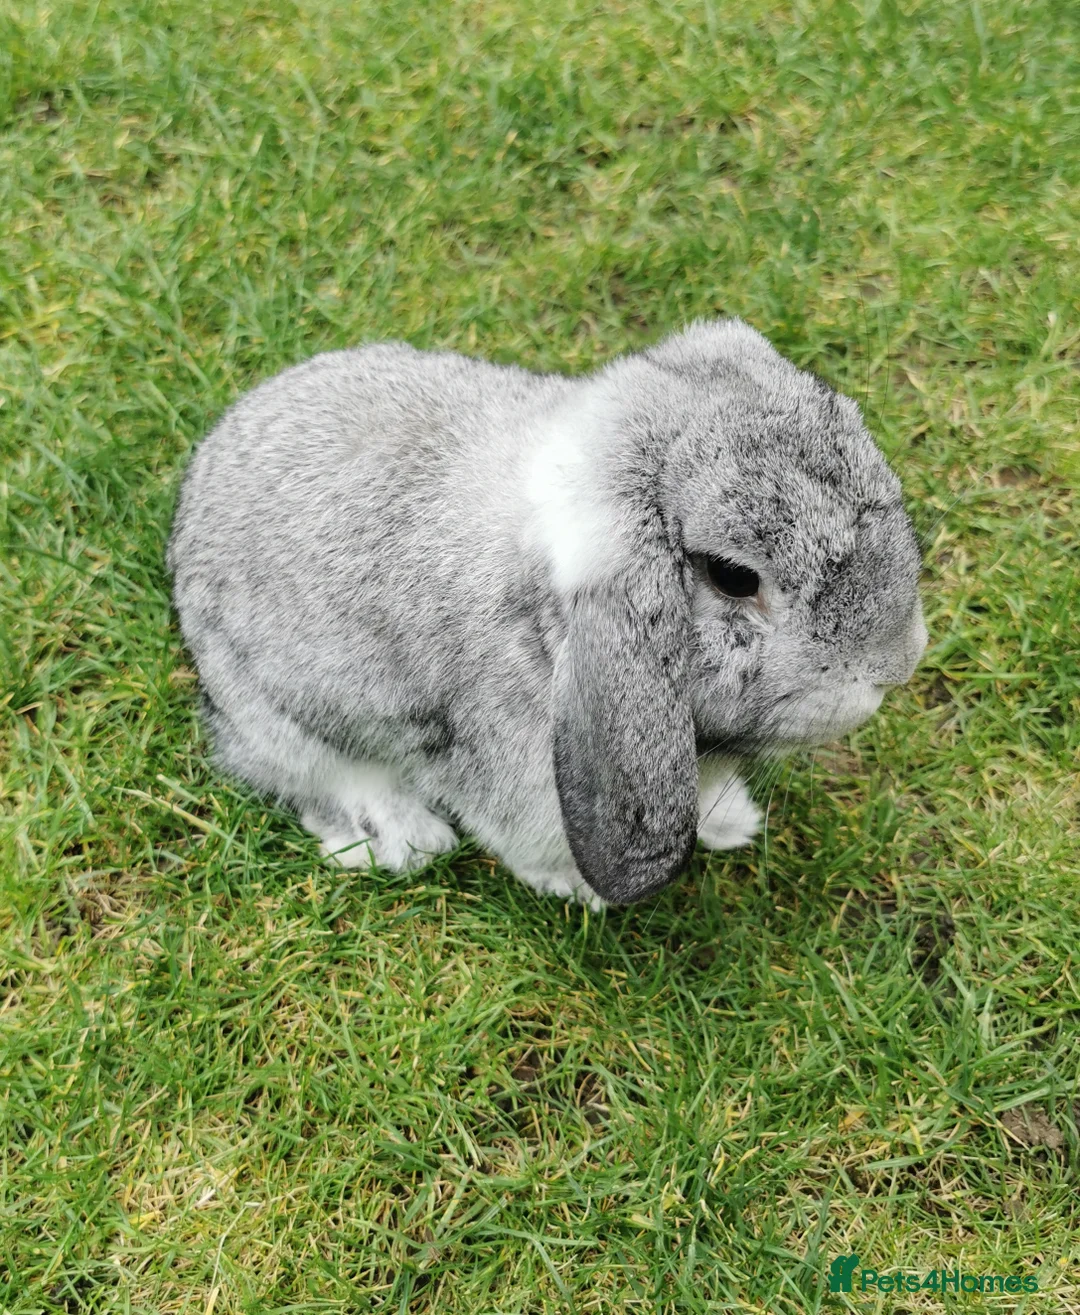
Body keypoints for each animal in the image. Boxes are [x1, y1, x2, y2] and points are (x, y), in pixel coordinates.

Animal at [167, 318, 927, 908]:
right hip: (281, 718)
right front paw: (579, 888)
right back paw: (405, 838)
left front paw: (731, 822)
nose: (897, 663)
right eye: (733, 576)